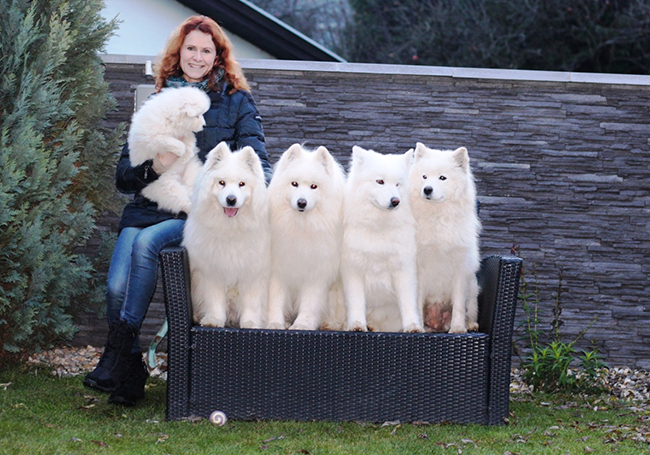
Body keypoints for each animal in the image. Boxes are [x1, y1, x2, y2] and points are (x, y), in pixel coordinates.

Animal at [126, 87, 208, 216]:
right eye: (197, 116)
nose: (204, 125)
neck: (170, 118)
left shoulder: (183, 133)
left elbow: (189, 138)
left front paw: (189, 151)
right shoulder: (154, 137)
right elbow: (171, 141)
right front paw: (182, 150)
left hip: (193, 172)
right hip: (167, 186)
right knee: (182, 199)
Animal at [181, 142, 270, 328]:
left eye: (242, 184)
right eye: (221, 183)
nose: (231, 199)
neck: (231, 230)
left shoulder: (254, 272)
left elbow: (251, 303)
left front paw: (250, 323)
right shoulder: (212, 271)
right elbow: (214, 301)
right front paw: (213, 320)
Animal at [264, 143, 344, 332]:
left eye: (314, 186)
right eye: (294, 184)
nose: (302, 202)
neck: (301, 226)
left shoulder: (316, 272)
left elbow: (310, 303)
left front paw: (302, 324)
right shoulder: (277, 270)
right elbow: (275, 300)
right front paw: (275, 323)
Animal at [336, 147, 422, 334]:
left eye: (397, 184)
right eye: (380, 181)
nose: (395, 201)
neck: (378, 227)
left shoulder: (403, 270)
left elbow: (408, 303)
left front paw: (412, 326)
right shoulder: (353, 270)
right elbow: (356, 302)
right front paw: (357, 325)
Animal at [410, 143, 480, 334]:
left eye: (442, 178)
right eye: (424, 176)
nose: (427, 189)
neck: (437, 217)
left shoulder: (460, 268)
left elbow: (458, 305)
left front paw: (458, 328)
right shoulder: (419, 268)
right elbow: (417, 302)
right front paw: (419, 327)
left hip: (473, 286)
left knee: (470, 311)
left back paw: (470, 324)